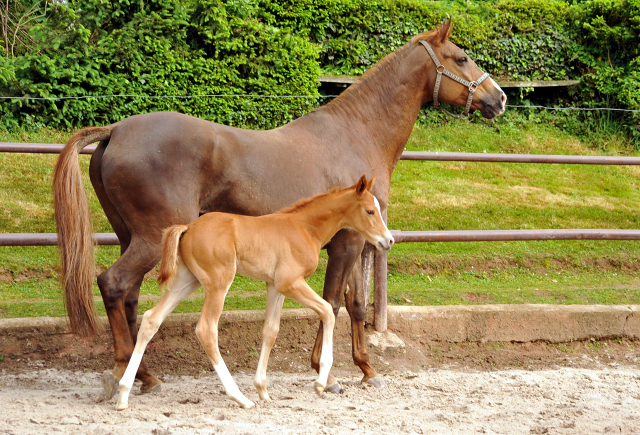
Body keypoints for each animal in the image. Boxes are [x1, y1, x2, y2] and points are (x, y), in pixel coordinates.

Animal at [117, 175, 392, 410]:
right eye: (370, 211)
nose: (388, 240)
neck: (304, 228)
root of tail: (188, 227)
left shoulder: (275, 287)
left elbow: (270, 331)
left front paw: (262, 389)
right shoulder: (290, 282)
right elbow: (327, 311)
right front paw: (321, 382)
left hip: (187, 281)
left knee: (151, 318)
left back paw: (123, 394)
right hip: (219, 282)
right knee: (206, 329)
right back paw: (239, 397)